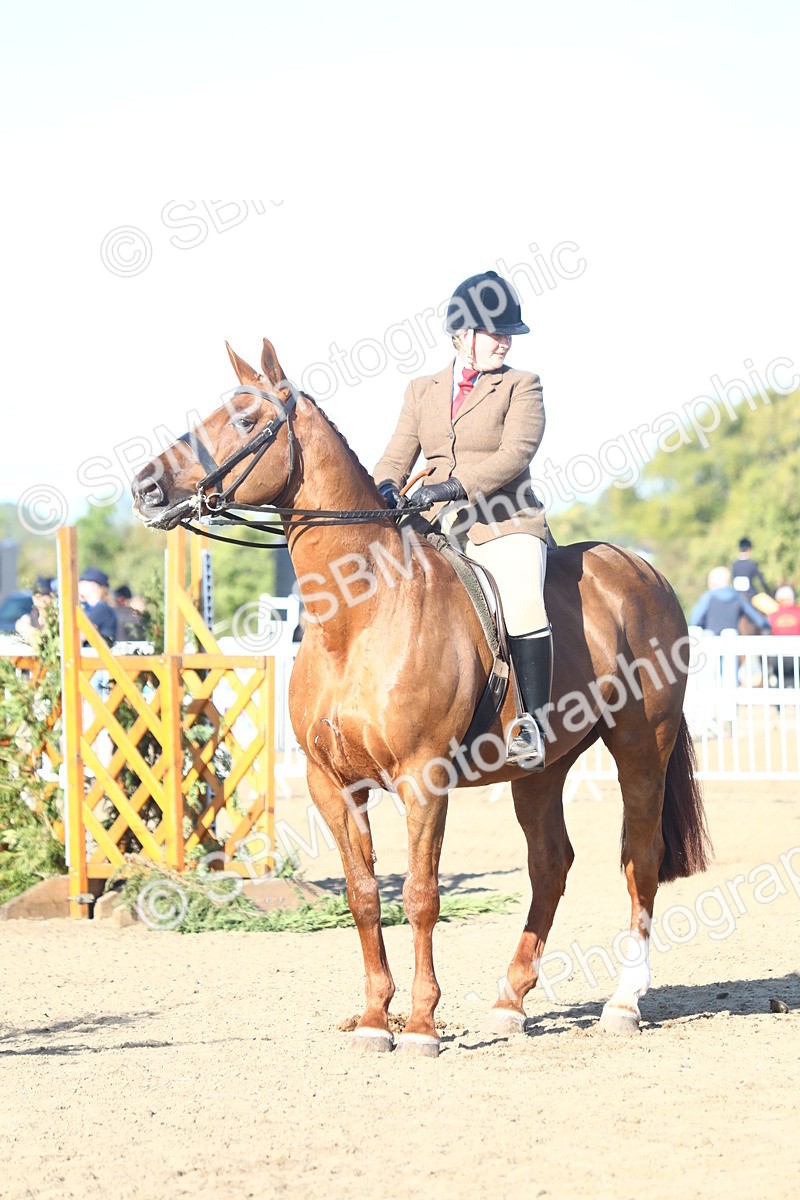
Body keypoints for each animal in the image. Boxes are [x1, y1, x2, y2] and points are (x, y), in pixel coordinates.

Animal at [131, 338, 711, 1055]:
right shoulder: (332, 784)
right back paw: (510, 1002)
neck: (358, 615)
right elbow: (362, 894)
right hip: (541, 769)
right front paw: (375, 1019)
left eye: (245, 421)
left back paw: (624, 1002)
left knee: (640, 859)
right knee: (551, 864)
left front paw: (422, 1025)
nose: (146, 489)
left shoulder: (422, 778)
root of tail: (641, 570)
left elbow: (420, 895)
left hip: (641, 747)